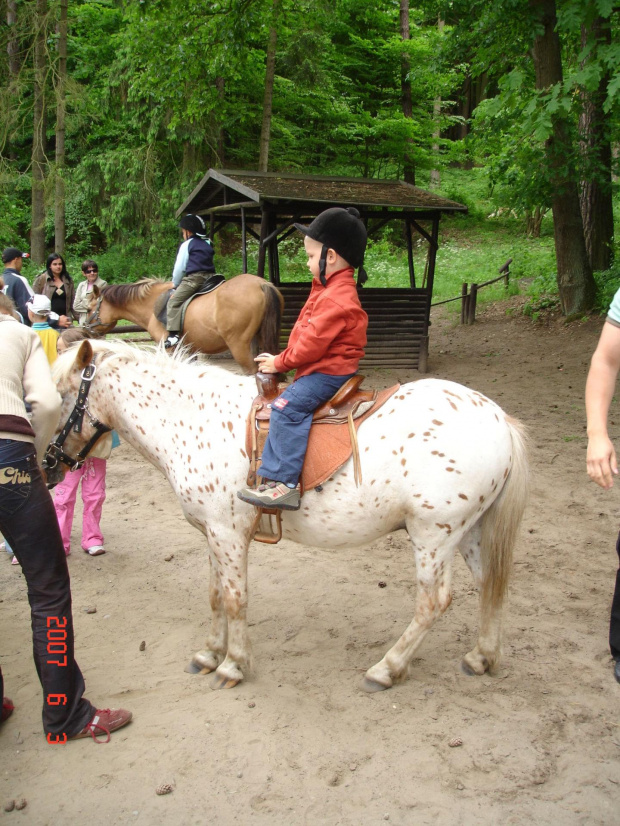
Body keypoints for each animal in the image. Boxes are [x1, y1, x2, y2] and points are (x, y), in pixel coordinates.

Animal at [50, 338, 532, 692]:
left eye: (61, 396)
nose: (51, 462)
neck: (193, 421)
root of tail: (498, 419)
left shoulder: (227, 534)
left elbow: (235, 598)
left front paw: (233, 665)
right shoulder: (213, 533)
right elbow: (215, 595)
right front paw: (208, 654)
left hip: (434, 535)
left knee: (433, 602)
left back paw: (386, 668)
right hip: (468, 532)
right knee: (490, 583)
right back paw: (481, 657)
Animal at [85, 272, 284, 372]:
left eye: (88, 309)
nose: (87, 329)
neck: (151, 303)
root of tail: (261, 284)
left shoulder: (169, 350)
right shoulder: (190, 349)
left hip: (239, 346)